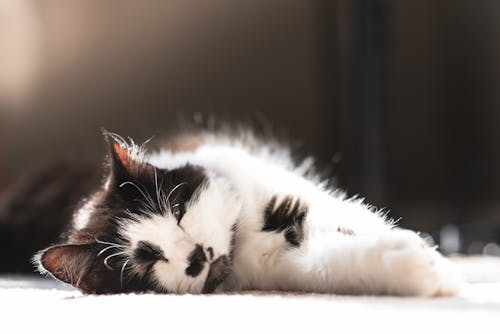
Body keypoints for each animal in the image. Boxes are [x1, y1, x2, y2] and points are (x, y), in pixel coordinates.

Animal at [33, 129, 462, 296]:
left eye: (177, 210)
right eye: (148, 259)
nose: (196, 255)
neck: (248, 234)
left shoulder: (299, 194)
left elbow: (365, 219)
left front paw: (437, 260)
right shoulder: (290, 265)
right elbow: (335, 261)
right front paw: (421, 270)